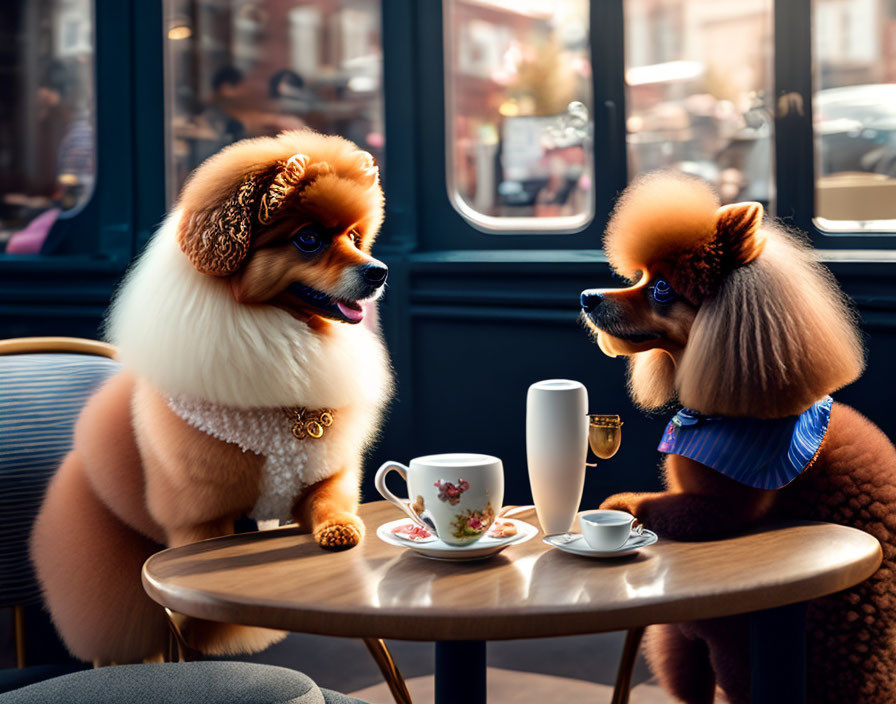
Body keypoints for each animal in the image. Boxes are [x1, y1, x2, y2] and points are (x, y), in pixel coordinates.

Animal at [31, 132, 392, 664]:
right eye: (308, 239)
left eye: (354, 237)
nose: (378, 271)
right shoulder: (202, 515)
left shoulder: (325, 469)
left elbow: (331, 501)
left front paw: (339, 528)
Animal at [580, 172, 896, 704]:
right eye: (640, 276)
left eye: (661, 289)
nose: (587, 296)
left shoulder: (718, 507)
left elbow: (646, 503)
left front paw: (617, 504)